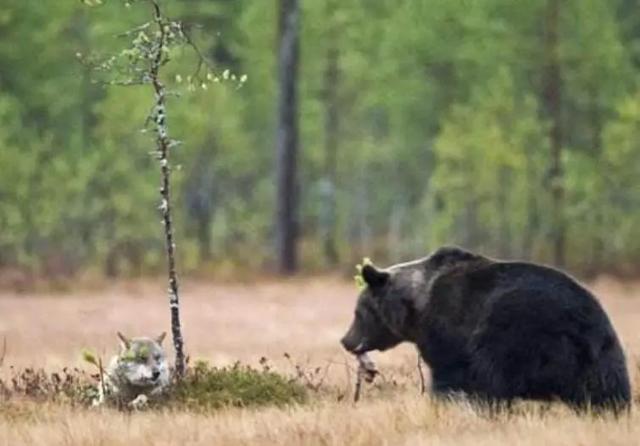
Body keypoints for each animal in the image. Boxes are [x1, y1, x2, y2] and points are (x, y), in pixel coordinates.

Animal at [340, 246, 632, 412]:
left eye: (358, 311)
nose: (346, 340)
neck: (417, 306)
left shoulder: (448, 327)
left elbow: (449, 373)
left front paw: (444, 402)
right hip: (602, 355)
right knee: (608, 391)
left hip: (516, 334)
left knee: (493, 374)